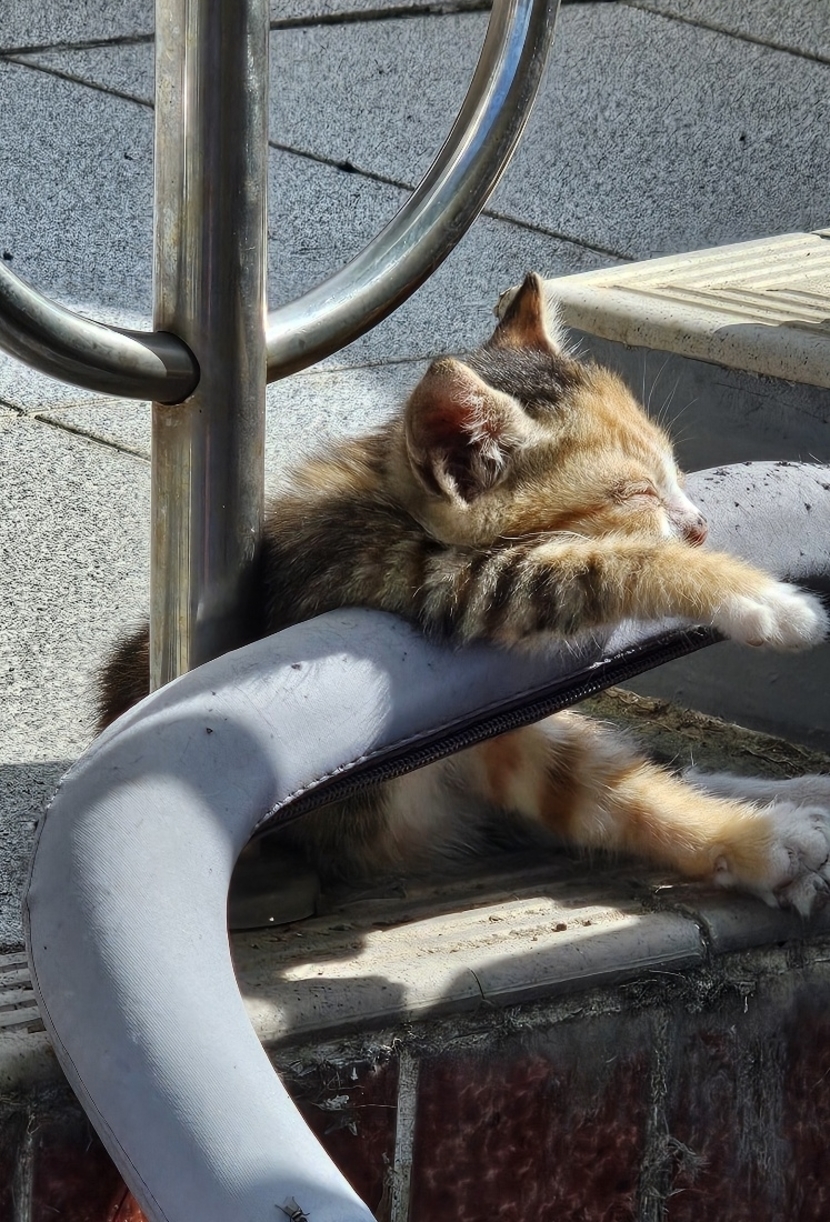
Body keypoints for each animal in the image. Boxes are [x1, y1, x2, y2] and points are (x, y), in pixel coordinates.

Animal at [97, 272, 830, 913]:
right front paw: (766, 602)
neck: (391, 503)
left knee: (634, 773)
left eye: (674, 471)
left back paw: (794, 802)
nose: (701, 524)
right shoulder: (431, 580)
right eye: (638, 494)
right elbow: (613, 562)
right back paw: (772, 838)